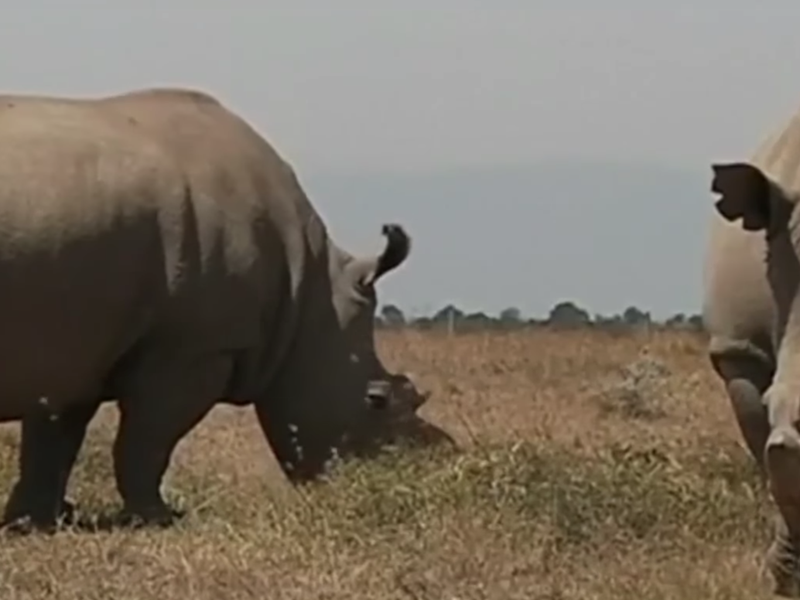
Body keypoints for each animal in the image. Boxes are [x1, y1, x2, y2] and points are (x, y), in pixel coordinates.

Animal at [0, 88, 441, 531]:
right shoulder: (195, 349)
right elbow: (146, 441)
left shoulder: (80, 348)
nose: (430, 464)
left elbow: (53, 440)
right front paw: (160, 518)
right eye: (376, 400)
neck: (309, 291)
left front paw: (33, 522)